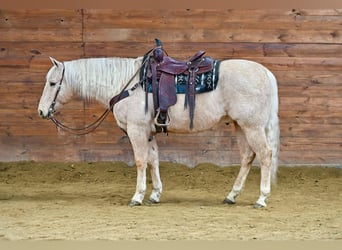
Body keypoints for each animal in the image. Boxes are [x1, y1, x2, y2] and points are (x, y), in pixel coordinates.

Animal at [38, 49, 278, 208]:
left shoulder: (136, 130)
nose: (41, 111)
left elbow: (140, 161)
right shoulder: (149, 133)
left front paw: (137, 196)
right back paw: (231, 195)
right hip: (241, 126)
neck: (127, 84)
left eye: (52, 83)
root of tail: (265, 72)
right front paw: (155, 195)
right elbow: (153, 160)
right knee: (248, 157)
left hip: (252, 127)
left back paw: (261, 198)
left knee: (265, 155)